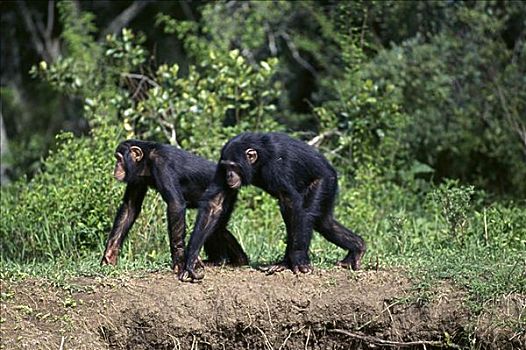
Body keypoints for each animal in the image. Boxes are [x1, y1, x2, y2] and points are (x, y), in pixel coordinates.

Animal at [101, 139, 250, 270]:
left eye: (119, 159)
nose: (116, 167)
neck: (146, 161)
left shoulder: (162, 165)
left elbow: (175, 204)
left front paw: (179, 260)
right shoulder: (136, 177)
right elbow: (130, 207)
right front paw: (109, 255)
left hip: (225, 193)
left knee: (215, 227)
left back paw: (224, 261)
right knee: (218, 228)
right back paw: (235, 260)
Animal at [179, 132, 370, 282]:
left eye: (234, 166)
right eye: (226, 167)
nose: (229, 175)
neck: (258, 161)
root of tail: (332, 169)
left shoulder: (276, 167)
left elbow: (289, 201)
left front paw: (299, 260)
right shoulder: (221, 162)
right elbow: (214, 204)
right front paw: (191, 260)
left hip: (325, 181)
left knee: (306, 215)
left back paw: (289, 262)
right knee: (324, 223)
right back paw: (356, 249)